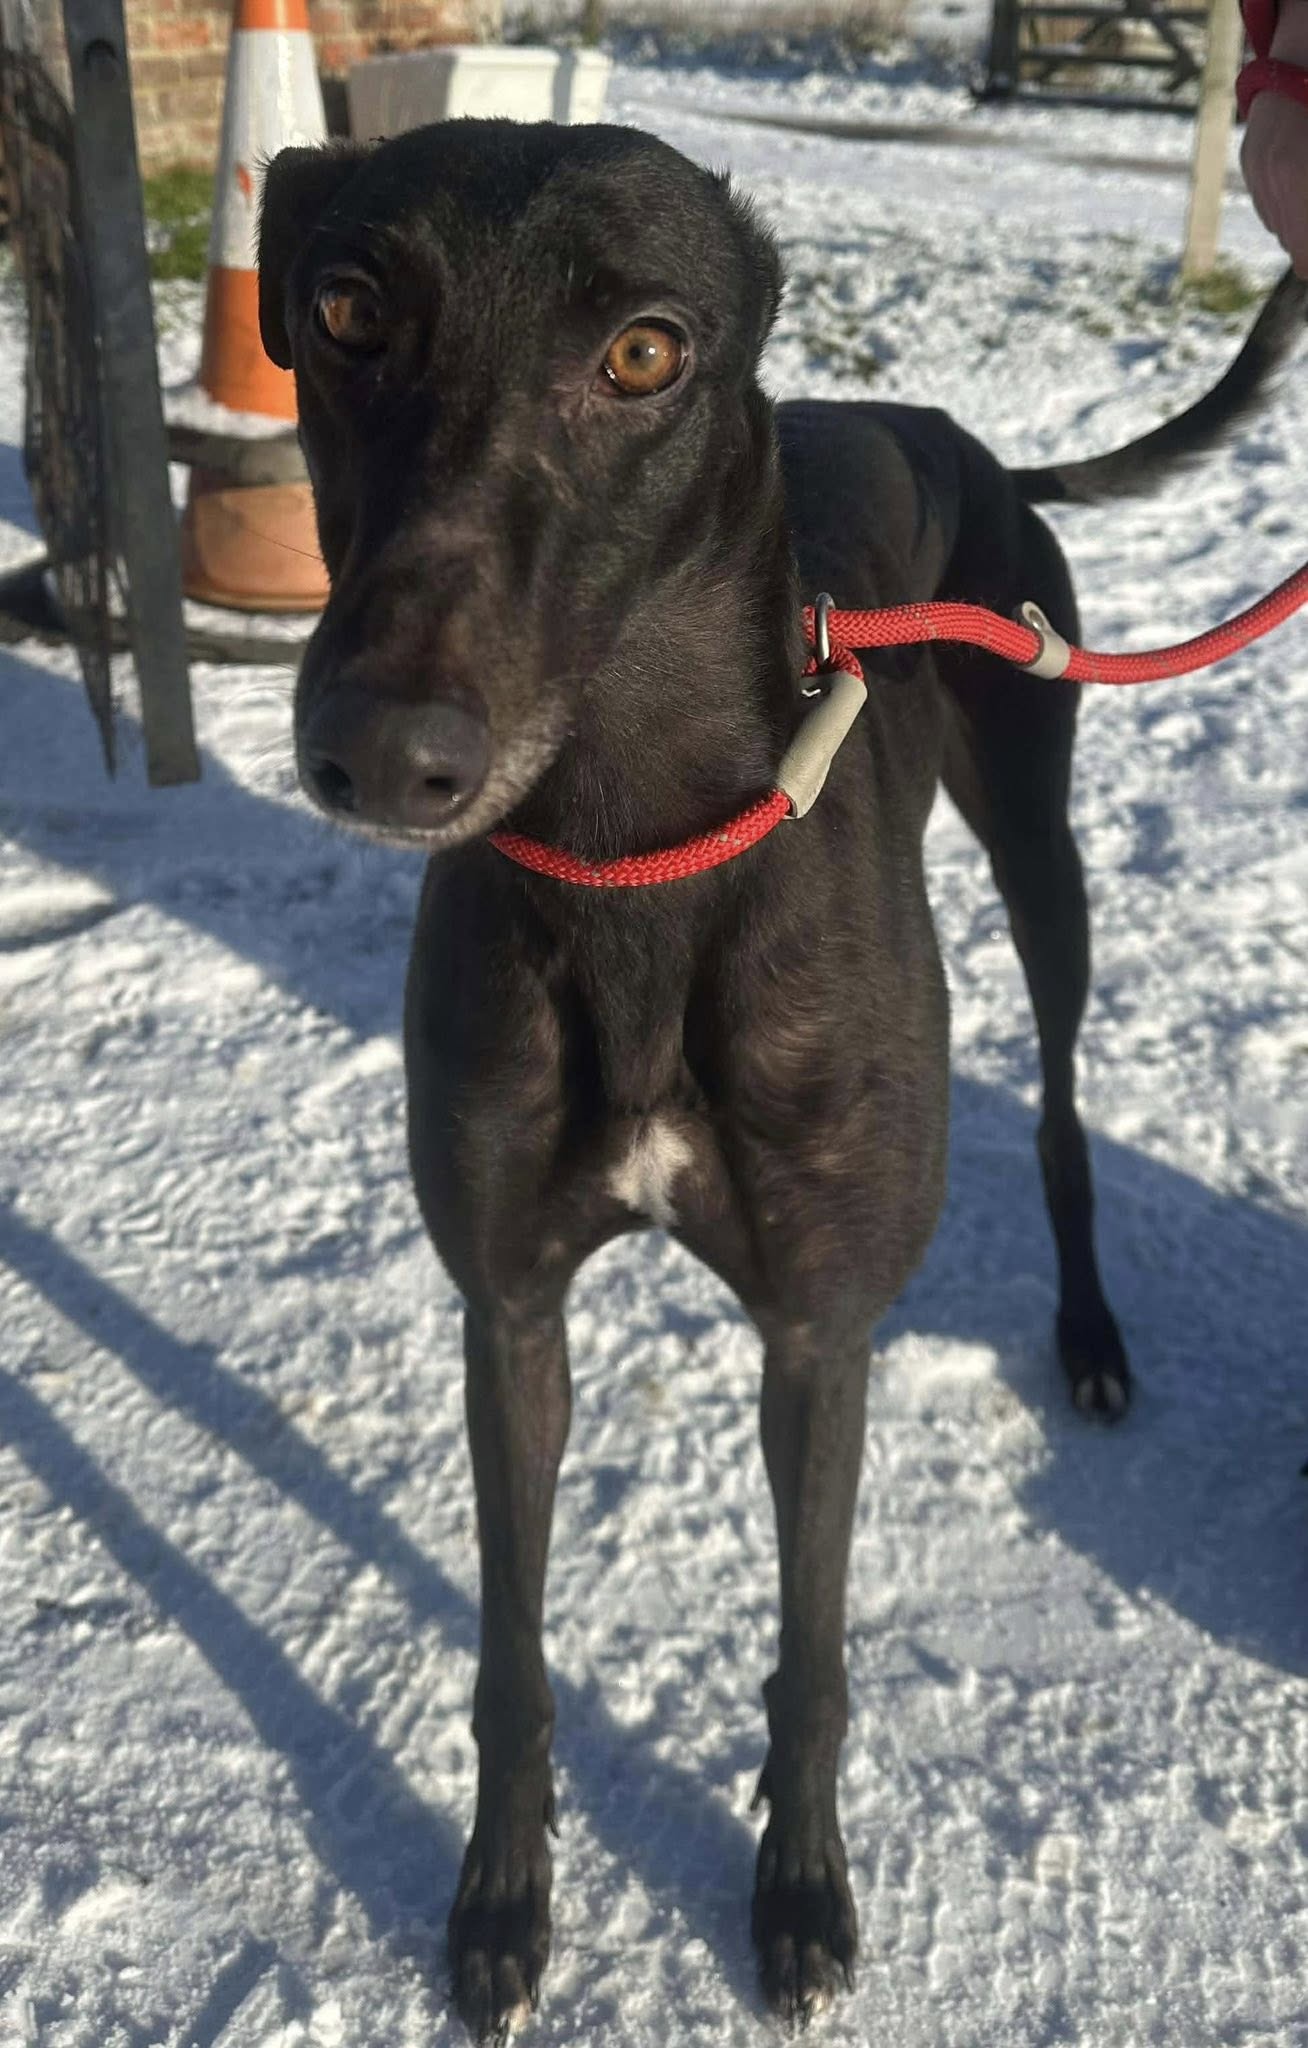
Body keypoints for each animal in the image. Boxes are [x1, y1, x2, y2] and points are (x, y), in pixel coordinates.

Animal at [257, 121, 1302, 2039]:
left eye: (644, 351)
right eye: (347, 307)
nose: (381, 751)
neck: (633, 855)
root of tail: (948, 425)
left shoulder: (822, 1332)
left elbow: (811, 1653)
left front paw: (800, 1894)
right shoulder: (507, 1308)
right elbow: (508, 1653)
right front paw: (500, 1904)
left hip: (1042, 848)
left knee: (1061, 1111)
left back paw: (1091, 1336)